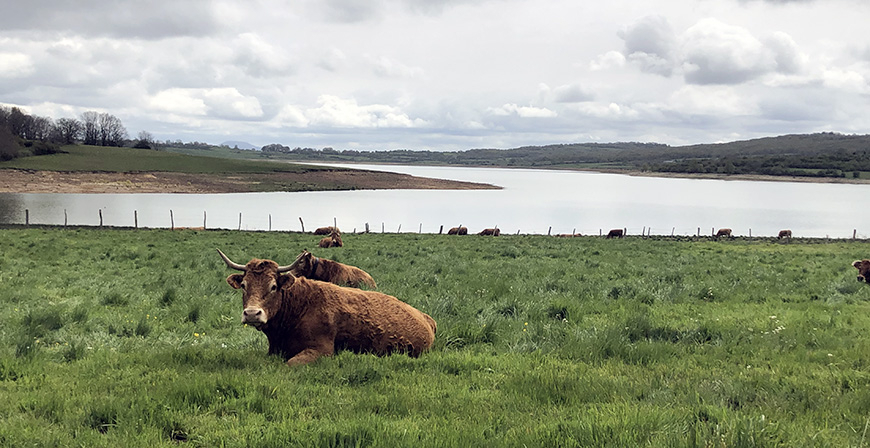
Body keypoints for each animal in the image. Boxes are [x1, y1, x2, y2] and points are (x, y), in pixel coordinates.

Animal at [218, 250, 436, 366]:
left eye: (273, 286)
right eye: (244, 285)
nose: (252, 314)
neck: (300, 305)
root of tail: (426, 318)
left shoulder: (321, 350)